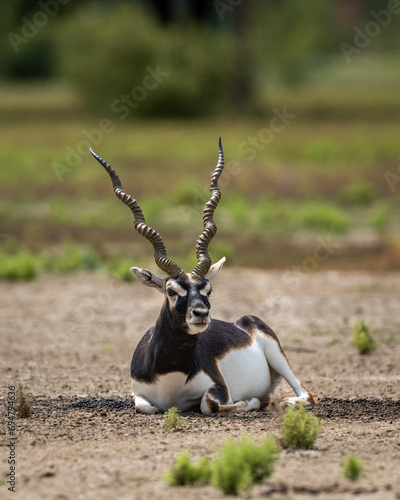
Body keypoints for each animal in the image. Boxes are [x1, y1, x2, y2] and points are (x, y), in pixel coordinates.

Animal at [90, 140, 316, 414]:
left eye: (208, 289)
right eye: (171, 290)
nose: (200, 313)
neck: (170, 377)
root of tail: (243, 322)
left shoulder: (218, 388)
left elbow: (210, 404)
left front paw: (250, 402)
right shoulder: (138, 394)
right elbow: (145, 406)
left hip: (277, 354)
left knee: (306, 394)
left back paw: (285, 401)